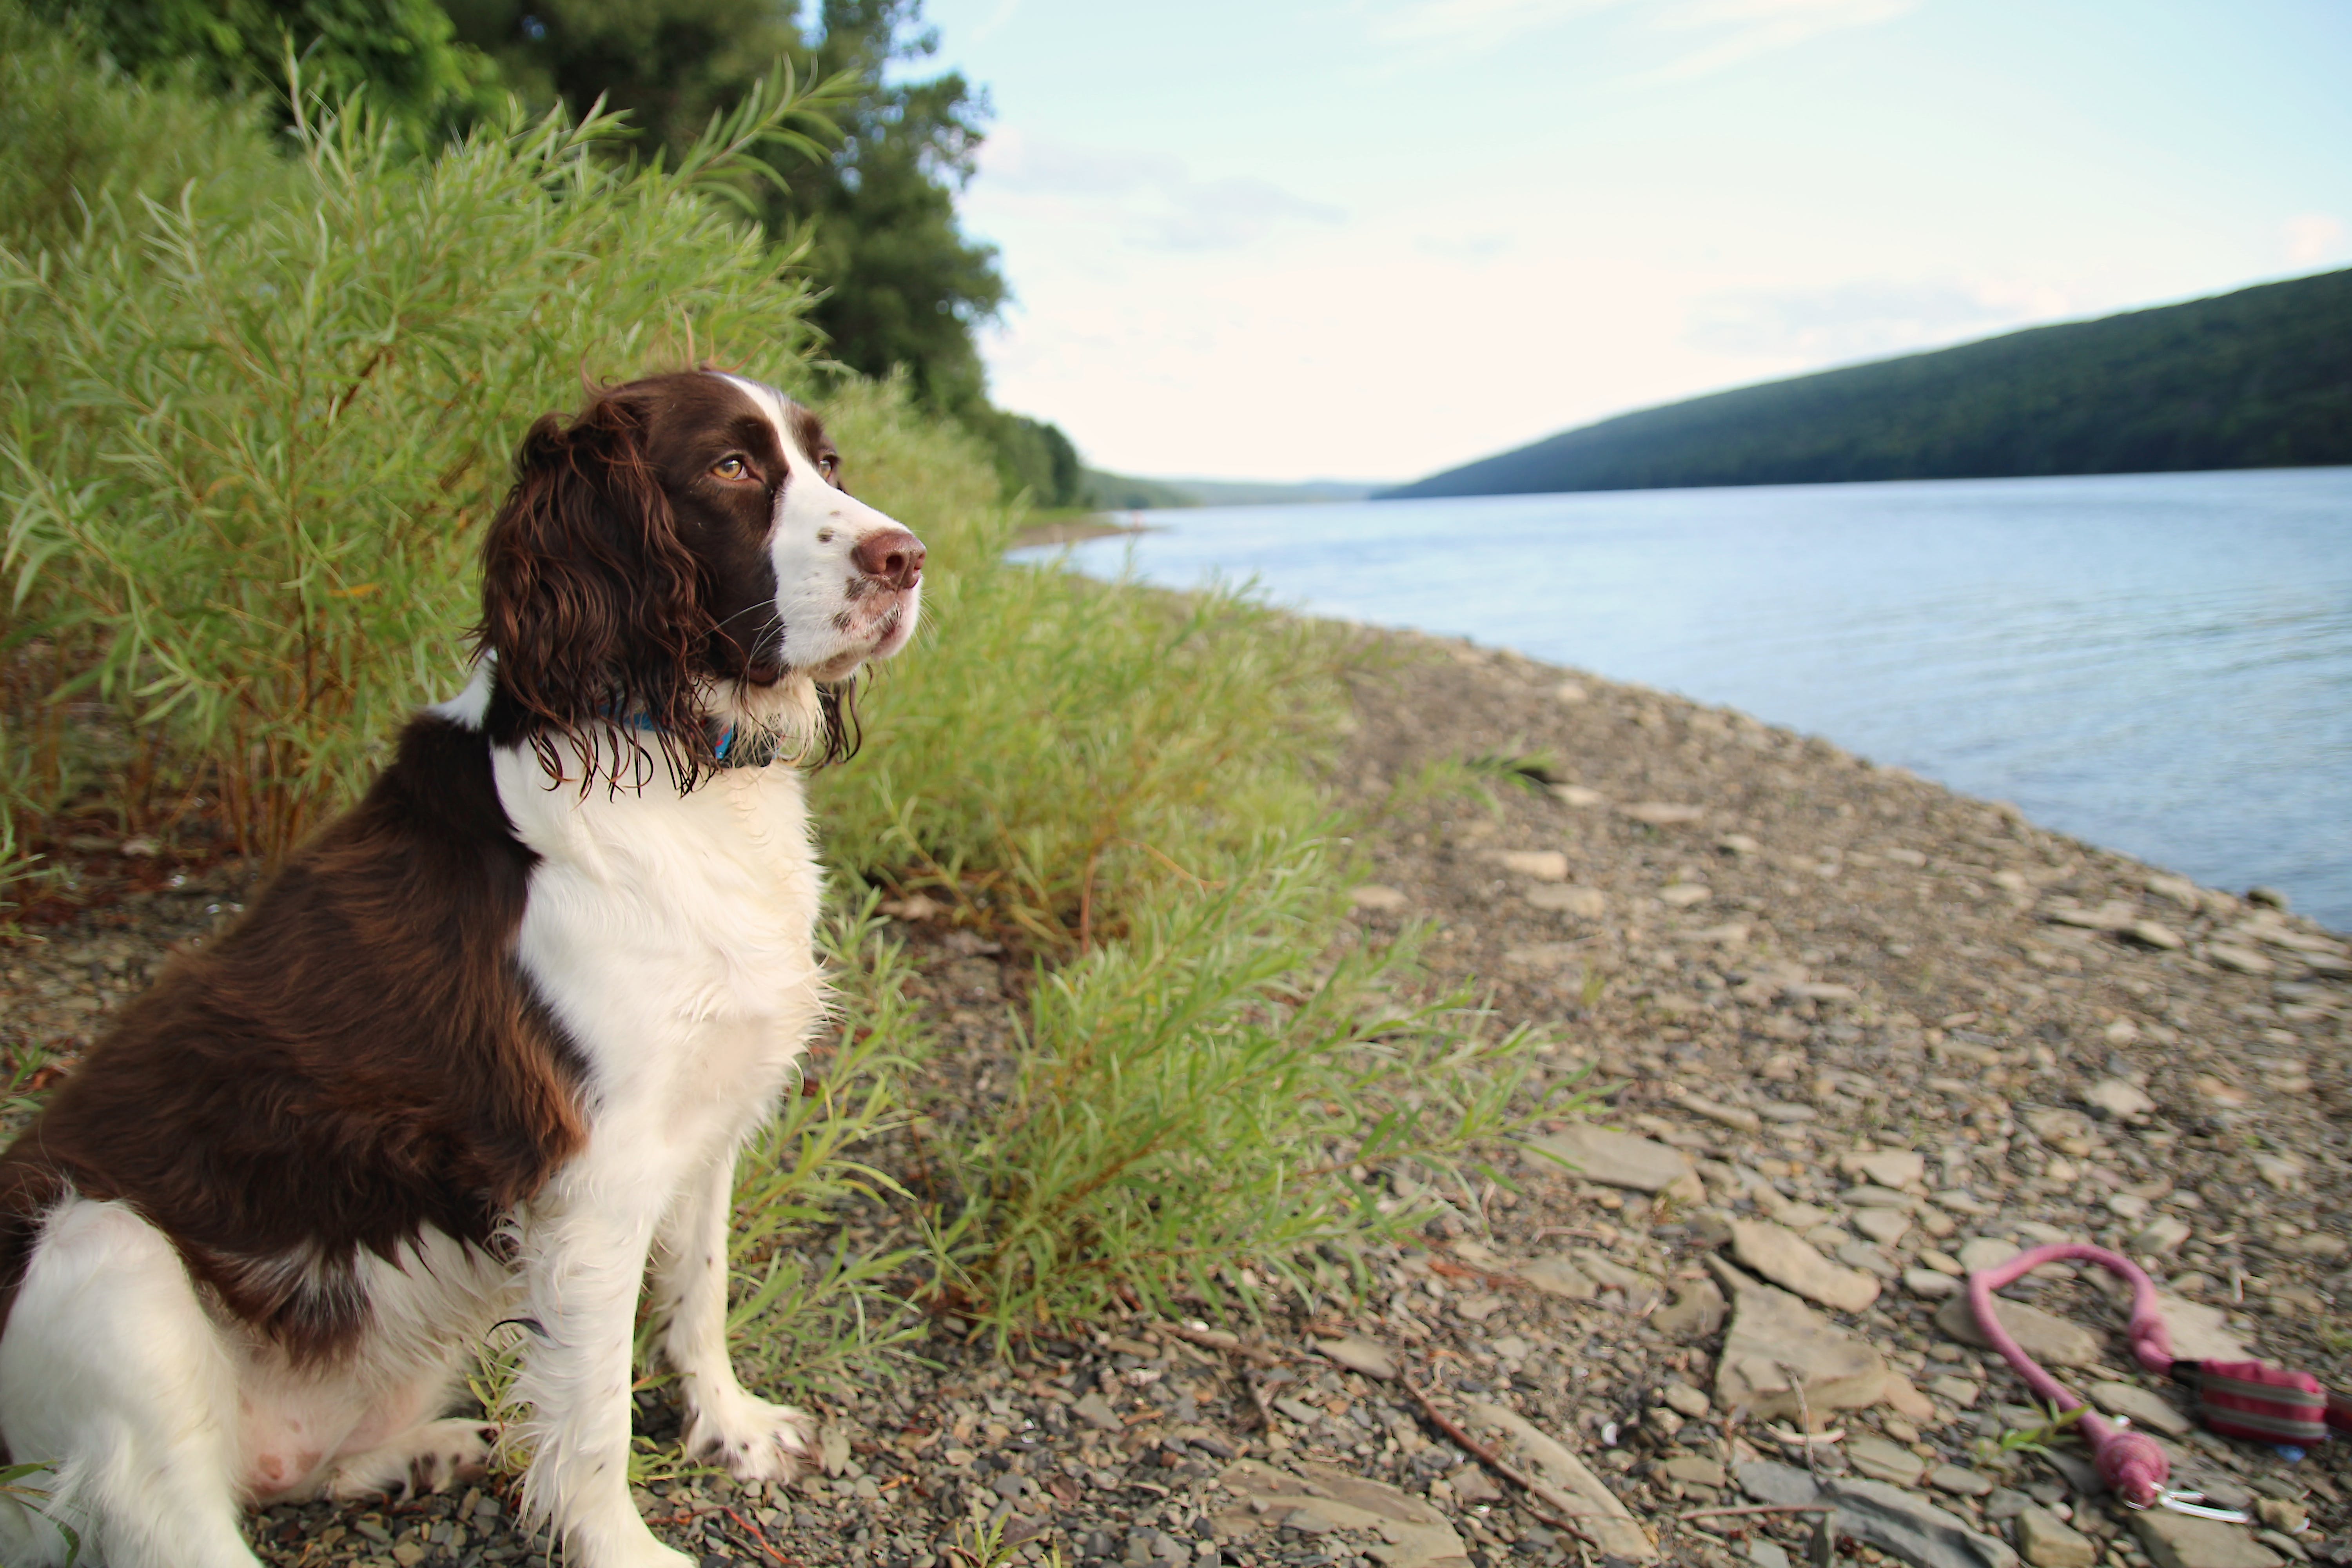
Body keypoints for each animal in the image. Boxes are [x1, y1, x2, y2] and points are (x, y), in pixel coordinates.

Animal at [0, 374, 922, 1568]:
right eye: (729, 468)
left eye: (830, 462)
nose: (908, 558)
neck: (675, 766)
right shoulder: (592, 1180)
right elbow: (592, 1418)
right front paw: (624, 1547)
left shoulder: (707, 1120)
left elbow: (699, 1293)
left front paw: (731, 1428)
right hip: (102, 1258)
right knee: (179, 1517)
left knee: (288, 1472)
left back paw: (414, 1455)